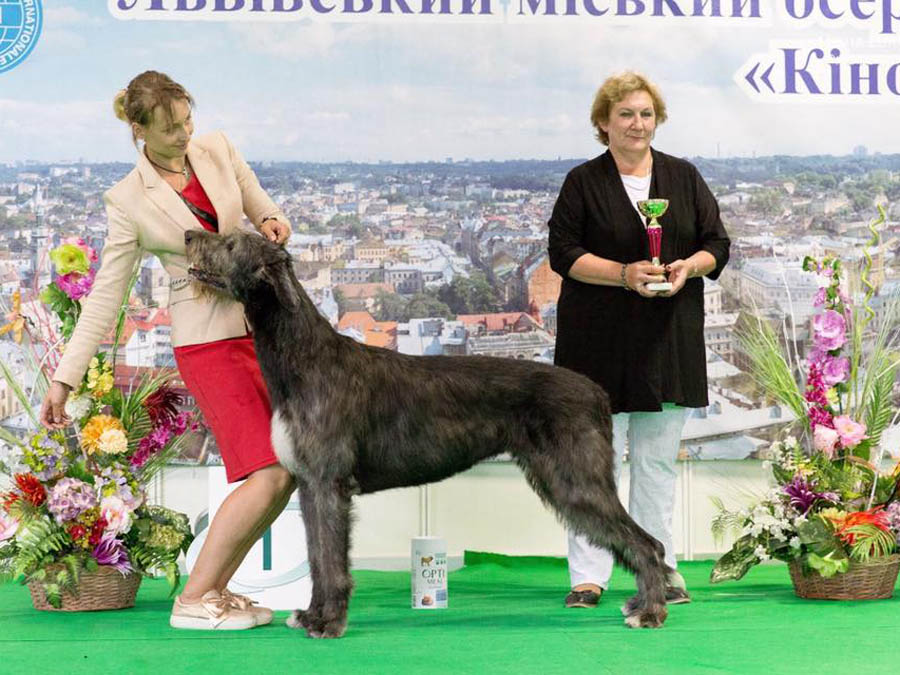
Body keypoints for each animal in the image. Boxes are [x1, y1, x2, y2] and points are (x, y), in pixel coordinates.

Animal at [186, 230, 672, 636]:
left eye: (230, 243)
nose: (189, 234)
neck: (304, 356)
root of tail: (598, 393)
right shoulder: (309, 485)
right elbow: (318, 556)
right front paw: (312, 614)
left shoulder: (328, 483)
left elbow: (333, 560)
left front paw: (330, 622)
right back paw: (642, 603)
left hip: (576, 479)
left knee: (647, 543)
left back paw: (650, 610)